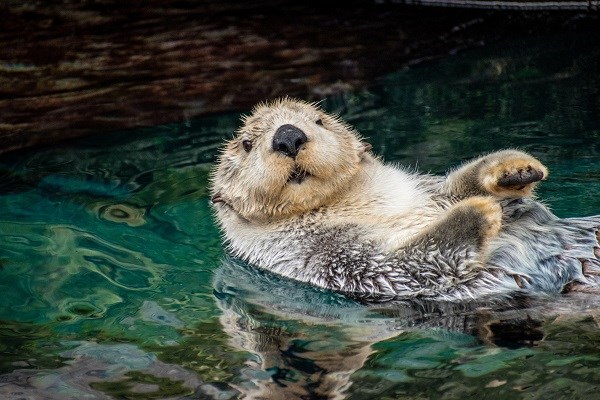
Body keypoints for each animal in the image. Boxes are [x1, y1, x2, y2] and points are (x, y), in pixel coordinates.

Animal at [211, 98, 600, 302]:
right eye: (247, 144)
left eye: (318, 120)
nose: (288, 136)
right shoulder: (327, 257)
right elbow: (406, 265)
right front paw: (478, 210)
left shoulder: (428, 193)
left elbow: (457, 186)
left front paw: (514, 168)